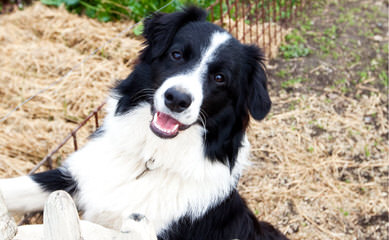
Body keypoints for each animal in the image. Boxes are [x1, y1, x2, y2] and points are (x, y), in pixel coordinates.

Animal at [0, 6, 288, 239]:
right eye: (176, 55)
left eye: (220, 78)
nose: (177, 99)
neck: (151, 157)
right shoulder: (74, 177)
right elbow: (16, 187)